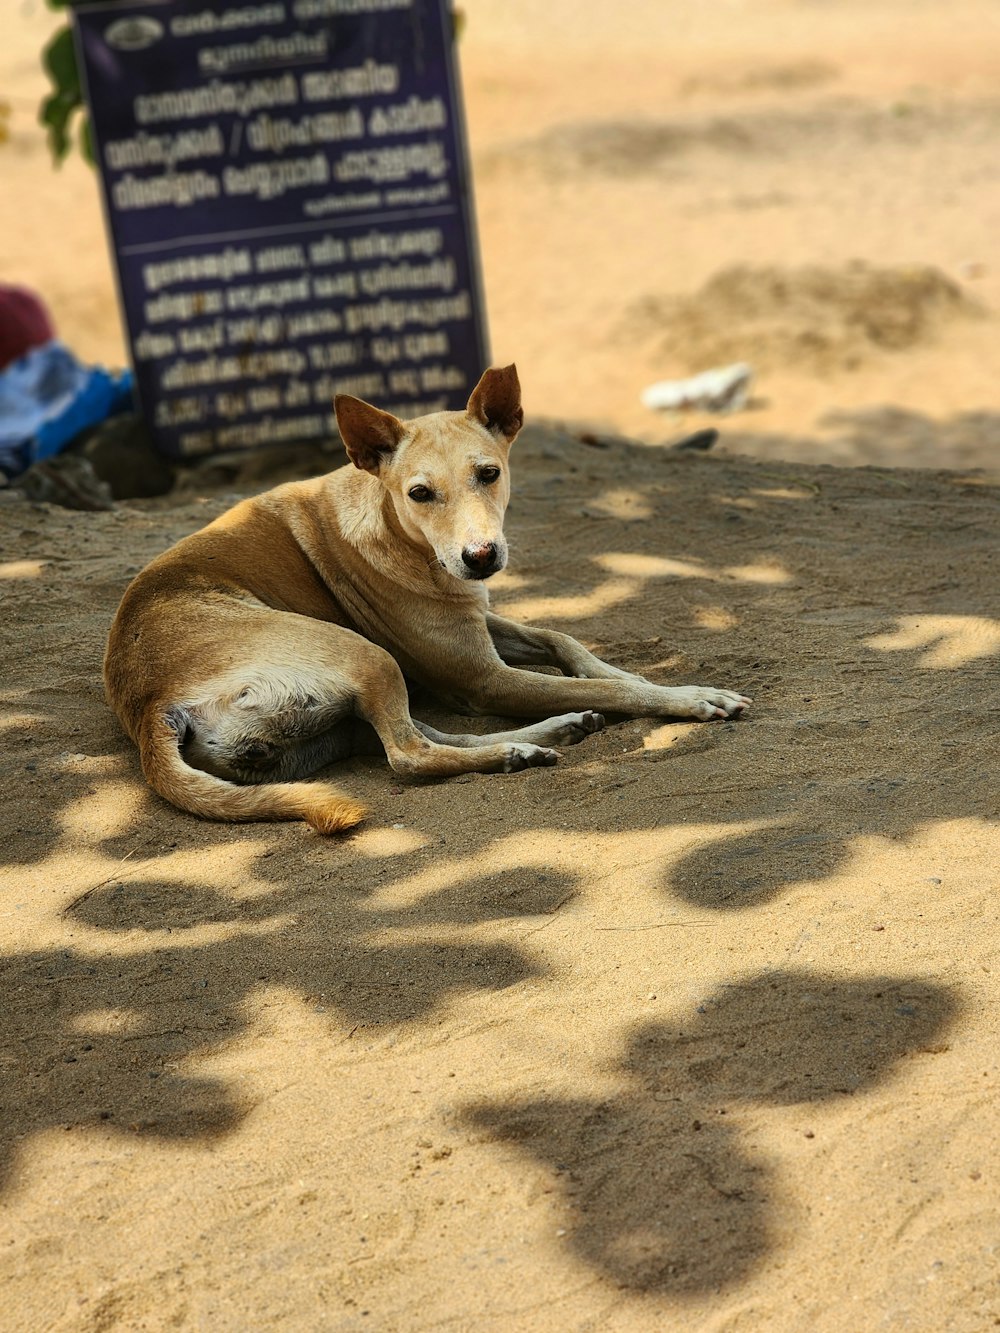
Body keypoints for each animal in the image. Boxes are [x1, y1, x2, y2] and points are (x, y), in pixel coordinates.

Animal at [104, 367, 752, 831]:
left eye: (489, 474)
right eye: (420, 493)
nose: (481, 557)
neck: (397, 531)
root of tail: (150, 707)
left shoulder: (478, 620)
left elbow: (566, 641)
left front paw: (630, 676)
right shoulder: (485, 679)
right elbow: (610, 688)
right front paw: (688, 697)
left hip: (335, 720)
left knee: (427, 735)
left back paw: (539, 739)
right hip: (364, 654)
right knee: (410, 755)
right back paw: (526, 744)